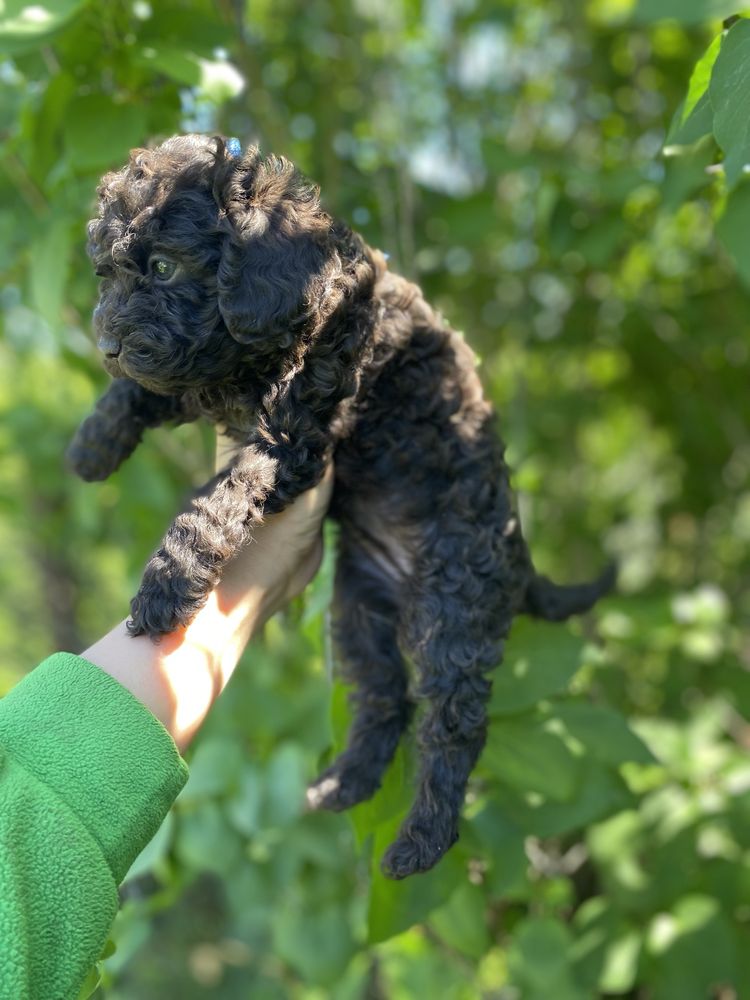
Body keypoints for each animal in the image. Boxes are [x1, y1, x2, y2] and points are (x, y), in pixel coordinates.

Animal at [69, 133, 616, 876]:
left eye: (161, 266)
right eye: (107, 274)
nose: (107, 345)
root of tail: (517, 548)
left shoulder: (294, 433)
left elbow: (217, 500)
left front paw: (167, 583)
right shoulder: (207, 378)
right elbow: (148, 391)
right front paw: (93, 444)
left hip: (457, 599)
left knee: (454, 722)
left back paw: (421, 841)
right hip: (357, 608)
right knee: (385, 700)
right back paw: (344, 784)